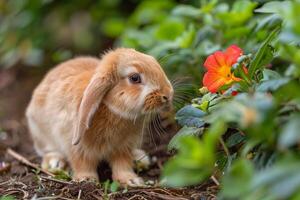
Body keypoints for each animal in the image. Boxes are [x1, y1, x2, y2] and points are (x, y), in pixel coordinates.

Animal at [25, 47, 173, 187]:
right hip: (41, 134)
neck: (113, 109)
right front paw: (86, 180)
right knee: (47, 150)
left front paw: (131, 181)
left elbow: (122, 164)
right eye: (134, 78)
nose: (168, 94)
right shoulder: (77, 146)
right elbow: (82, 163)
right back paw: (55, 163)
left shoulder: (123, 147)